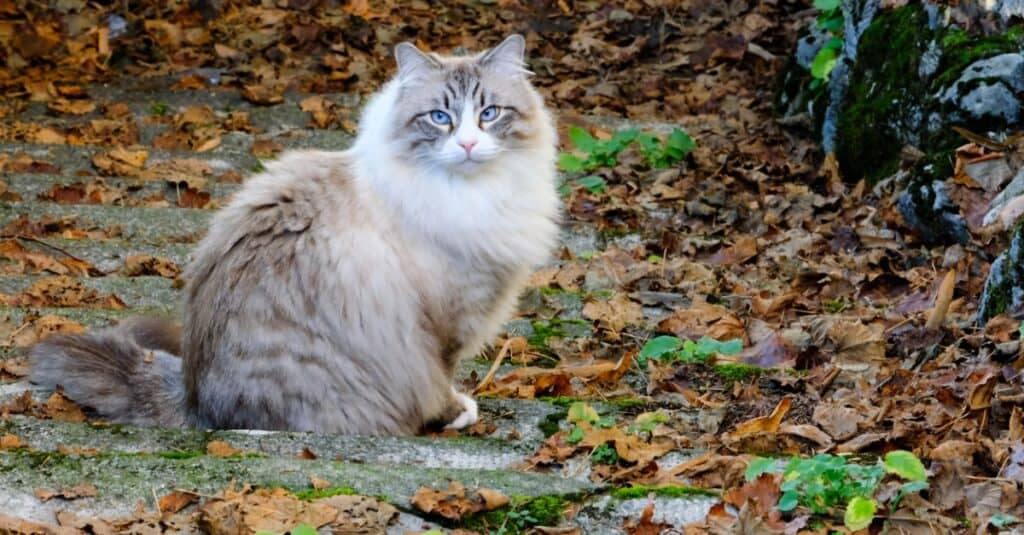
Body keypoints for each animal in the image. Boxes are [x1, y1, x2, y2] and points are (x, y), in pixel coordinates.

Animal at [29, 34, 561, 432]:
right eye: (440, 118)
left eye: (489, 113)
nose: (468, 144)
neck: (471, 195)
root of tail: (193, 399)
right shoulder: (444, 323)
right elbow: (440, 379)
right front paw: (455, 413)